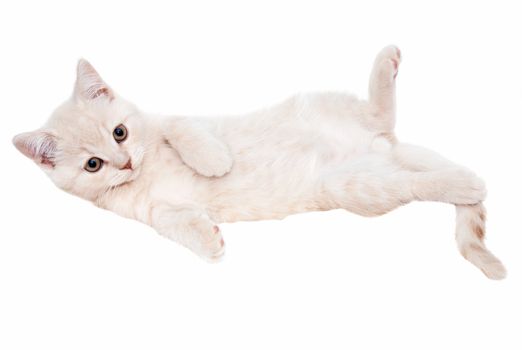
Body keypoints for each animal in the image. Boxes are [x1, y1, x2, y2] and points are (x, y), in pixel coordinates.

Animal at [12, 46, 502, 280]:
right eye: (94, 165)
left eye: (120, 132)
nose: (126, 162)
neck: (147, 171)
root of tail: (381, 146)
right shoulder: (152, 213)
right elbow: (172, 222)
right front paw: (208, 240)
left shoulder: (173, 120)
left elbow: (184, 130)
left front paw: (212, 161)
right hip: (355, 182)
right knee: (412, 177)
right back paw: (462, 180)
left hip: (334, 123)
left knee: (385, 118)